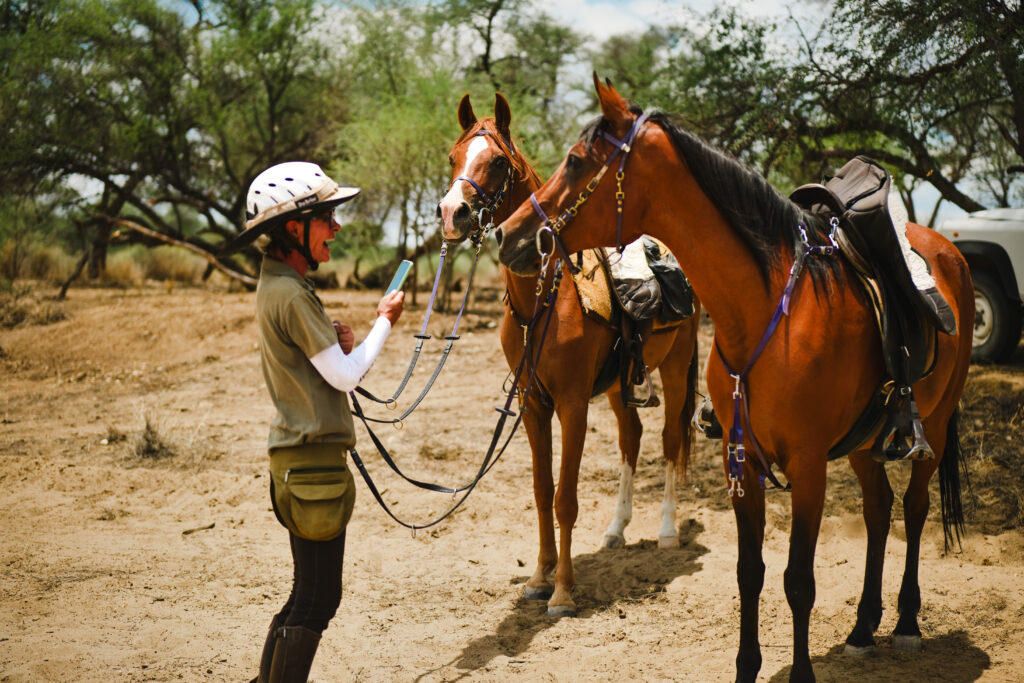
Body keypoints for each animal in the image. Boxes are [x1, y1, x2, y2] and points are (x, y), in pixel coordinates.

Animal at [438, 93, 703, 617]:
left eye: (497, 161)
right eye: (454, 157)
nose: (452, 212)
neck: (541, 301)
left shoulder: (573, 404)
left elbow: (565, 498)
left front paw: (562, 591)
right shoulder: (533, 405)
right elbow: (543, 492)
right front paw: (538, 578)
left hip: (677, 367)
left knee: (668, 440)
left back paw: (665, 530)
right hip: (622, 385)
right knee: (632, 437)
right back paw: (616, 530)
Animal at [495, 75, 973, 681]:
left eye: (577, 161)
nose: (509, 236)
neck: (764, 307)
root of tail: (950, 250)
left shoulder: (808, 466)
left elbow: (798, 581)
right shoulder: (739, 460)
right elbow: (751, 573)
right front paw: (748, 667)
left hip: (929, 426)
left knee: (913, 508)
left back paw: (907, 623)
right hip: (865, 443)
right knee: (878, 510)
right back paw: (864, 628)